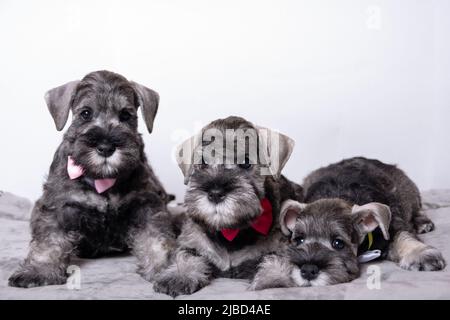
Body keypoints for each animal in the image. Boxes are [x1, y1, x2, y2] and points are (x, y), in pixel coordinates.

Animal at [10, 70, 176, 288]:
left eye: (126, 115)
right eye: (85, 113)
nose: (106, 147)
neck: (100, 178)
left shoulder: (146, 204)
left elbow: (156, 239)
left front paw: (167, 268)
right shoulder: (58, 206)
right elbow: (49, 241)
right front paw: (38, 270)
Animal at [151, 116, 302, 296]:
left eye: (246, 162)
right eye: (203, 162)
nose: (215, 193)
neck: (232, 232)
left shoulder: (282, 246)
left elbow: (276, 259)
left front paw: (272, 281)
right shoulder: (191, 243)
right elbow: (186, 256)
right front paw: (179, 276)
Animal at [251, 156, 444, 288]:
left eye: (338, 243)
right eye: (299, 240)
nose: (307, 271)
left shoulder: (393, 226)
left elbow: (404, 237)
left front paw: (421, 254)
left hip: (408, 191)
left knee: (417, 209)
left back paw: (423, 222)